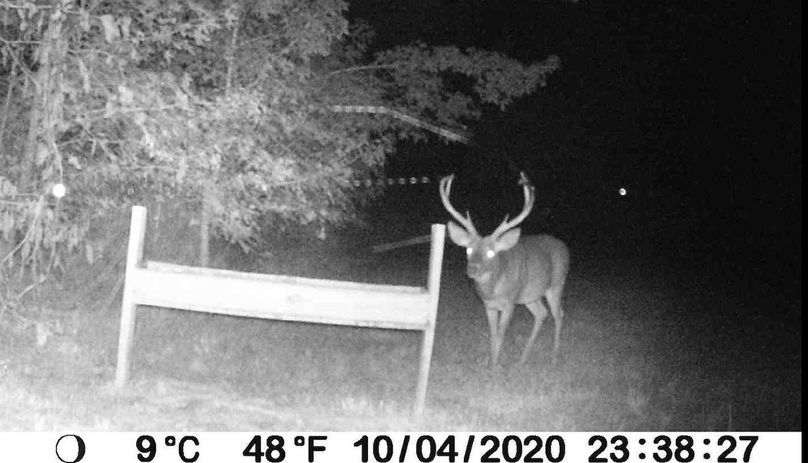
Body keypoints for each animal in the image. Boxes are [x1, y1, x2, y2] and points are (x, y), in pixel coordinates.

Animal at [439, 172, 570, 367]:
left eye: (491, 252)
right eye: (468, 249)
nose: (472, 269)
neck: (493, 290)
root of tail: (566, 248)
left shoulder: (509, 302)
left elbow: (501, 335)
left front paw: (495, 368)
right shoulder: (488, 305)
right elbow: (493, 335)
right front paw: (491, 364)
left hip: (556, 284)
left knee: (558, 314)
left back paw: (554, 357)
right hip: (529, 295)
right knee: (541, 313)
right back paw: (523, 359)